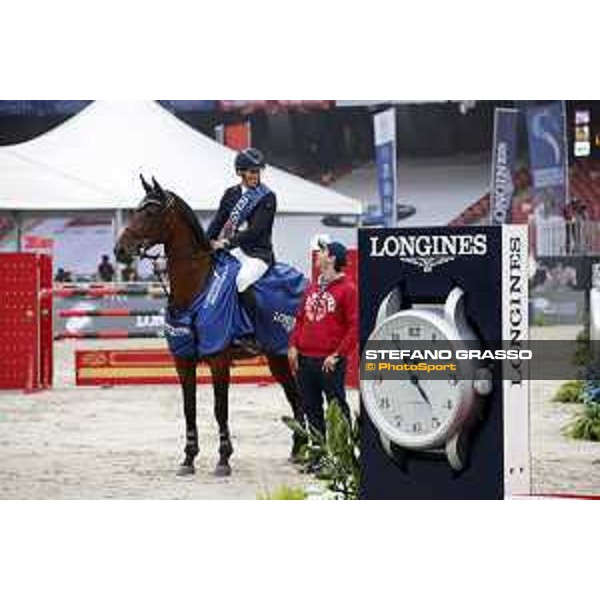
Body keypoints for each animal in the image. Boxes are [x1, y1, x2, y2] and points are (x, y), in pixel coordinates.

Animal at [113, 176, 304, 476]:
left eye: (151, 212)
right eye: (135, 210)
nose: (120, 250)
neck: (194, 290)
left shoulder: (218, 359)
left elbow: (219, 408)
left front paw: (224, 459)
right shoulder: (183, 360)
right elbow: (188, 407)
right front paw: (188, 458)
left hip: (283, 353)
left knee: (297, 396)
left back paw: (304, 449)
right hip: (276, 356)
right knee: (294, 396)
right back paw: (299, 450)